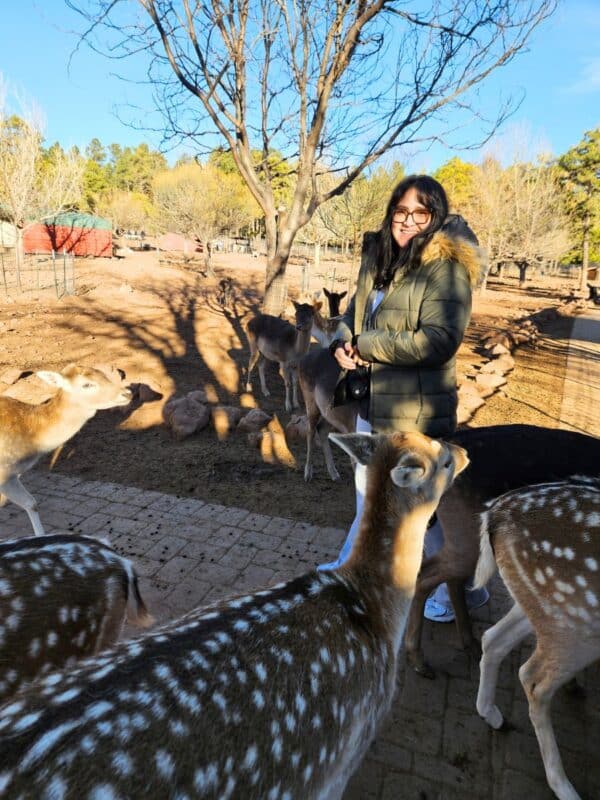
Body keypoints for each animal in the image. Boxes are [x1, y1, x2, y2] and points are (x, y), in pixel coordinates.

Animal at [0, 364, 132, 537]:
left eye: (104, 375)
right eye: (86, 384)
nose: (127, 393)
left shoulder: (13, 475)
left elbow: (31, 503)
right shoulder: (4, 474)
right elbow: (28, 503)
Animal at [473, 476, 600, 800]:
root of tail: (493, 514)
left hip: (543, 607)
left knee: (492, 639)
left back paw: (492, 715)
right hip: (579, 625)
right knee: (533, 679)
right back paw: (564, 787)